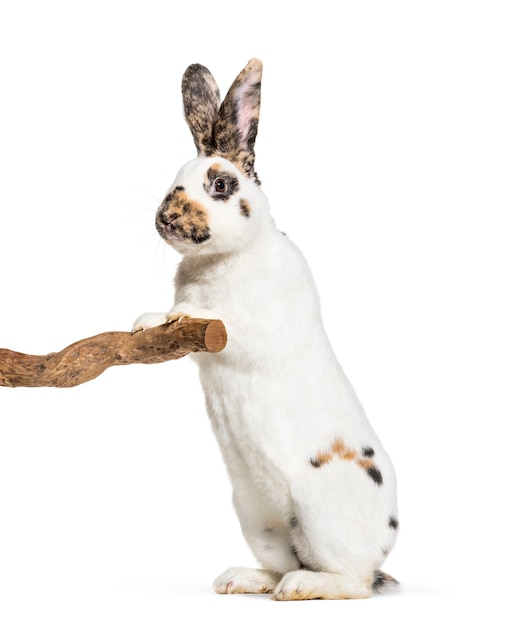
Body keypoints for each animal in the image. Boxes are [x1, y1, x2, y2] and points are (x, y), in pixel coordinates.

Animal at [131, 59, 398, 600]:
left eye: (220, 185)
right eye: (175, 179)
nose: (166, 219)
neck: (223, 259)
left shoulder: (254, 324)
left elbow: (213, 318)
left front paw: (168, 315)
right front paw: (148, 319)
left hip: (320, 518)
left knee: (353, 582)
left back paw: (299, 587)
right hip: (258, 519)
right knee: (281, 560)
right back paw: (239, 579)